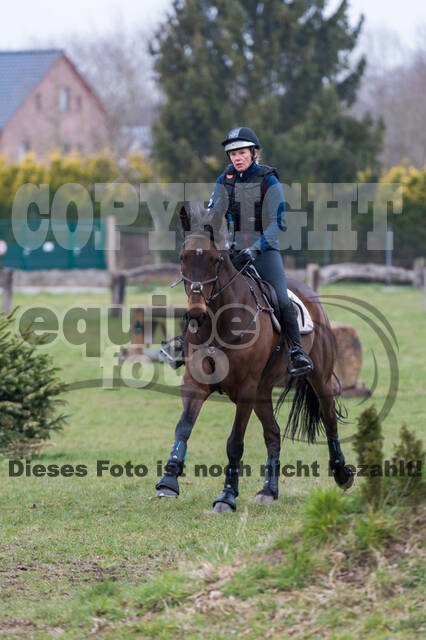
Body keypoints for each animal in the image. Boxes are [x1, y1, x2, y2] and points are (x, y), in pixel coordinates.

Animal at [155, 202, 354, 512]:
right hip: (263, 391)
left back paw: (342, 474)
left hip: (317, 378)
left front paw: (226, 496)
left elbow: (234, 442)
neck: (220, 323)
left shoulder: (246, 390)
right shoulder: (196, 384)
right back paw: (269, 491)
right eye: (183, 257)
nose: (196, 313)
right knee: (273, 434)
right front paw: (168, 481)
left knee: (329, 419)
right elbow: (183, 428)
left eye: (215, 259)